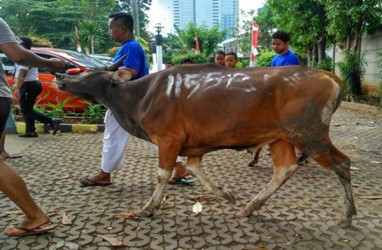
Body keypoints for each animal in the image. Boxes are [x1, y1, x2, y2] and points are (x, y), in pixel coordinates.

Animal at [55, 64, 356, 227]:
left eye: (88, 72)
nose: (61, 76)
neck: (139, 97)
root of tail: (331, 77)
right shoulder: (193, 147)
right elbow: (195, 170)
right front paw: (228, 194)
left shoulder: (168, 139)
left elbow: (163, 175)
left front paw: (147, 208)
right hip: (281, 138)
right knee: (285, 169)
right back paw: (249, 207)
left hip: (309, 134)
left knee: (342, 163)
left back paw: (348, 214)